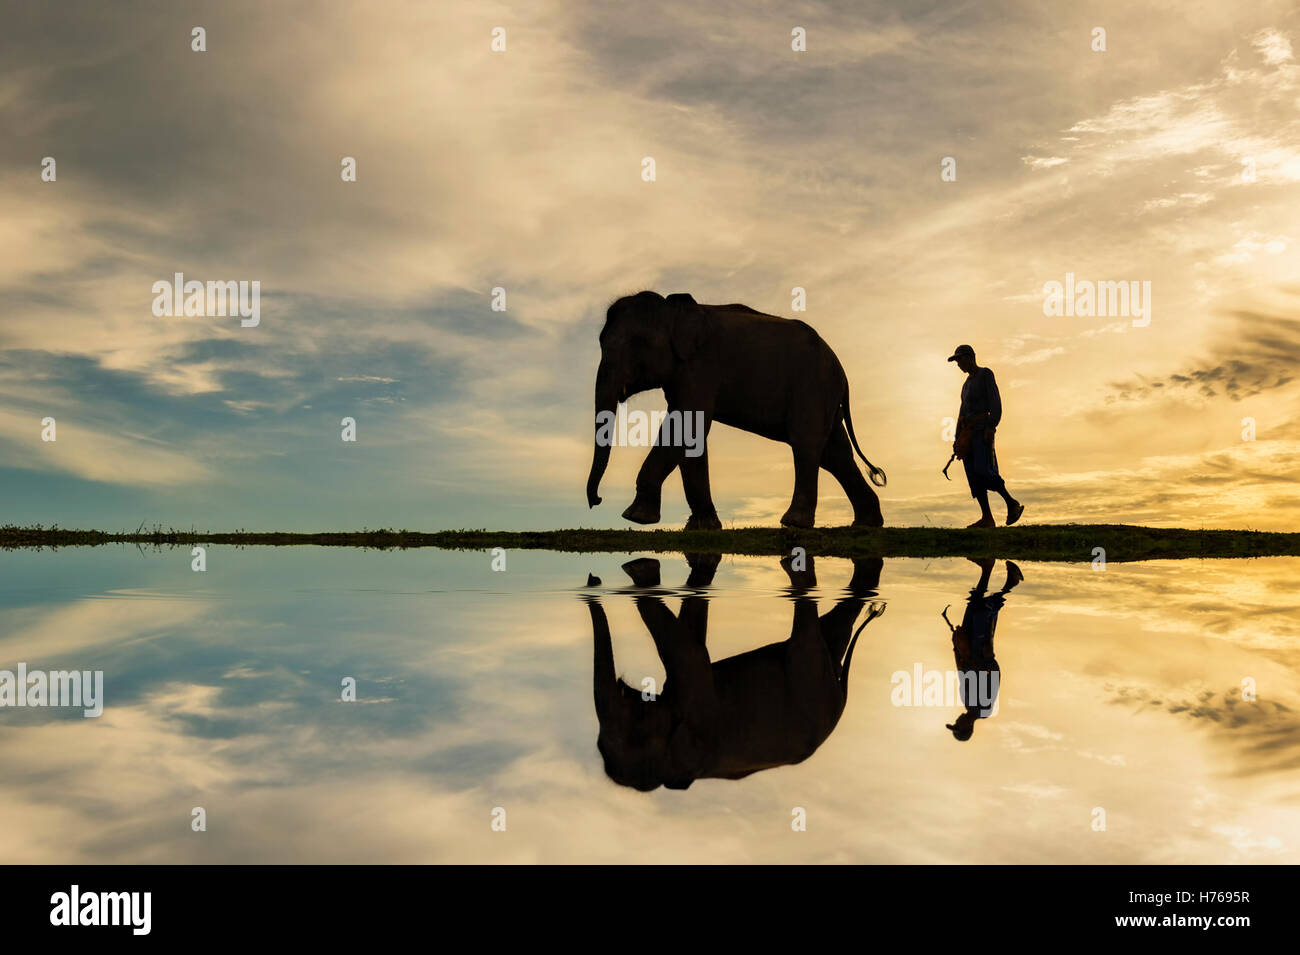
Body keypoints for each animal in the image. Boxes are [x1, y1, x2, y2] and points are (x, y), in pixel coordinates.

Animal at [585, 553, 889, 789]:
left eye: (632, 733)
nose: (593, 578)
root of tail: (841, 702)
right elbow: (692, 639)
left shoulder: (699, 721)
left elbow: (691, 652)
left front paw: (641, 570)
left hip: (809, 675)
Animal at [587, 291, 883, 530]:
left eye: (637, 343)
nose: (597, 500)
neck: (674, 311)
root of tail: (842, 371)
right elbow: (691, 435)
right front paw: (702, 528)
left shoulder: (702, 366)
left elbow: (685, 426)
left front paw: (635, 517)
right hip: (824, 395)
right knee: (835, 454)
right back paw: (866, 524)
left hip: (813, 386)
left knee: (806, 444)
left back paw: (794, 523)